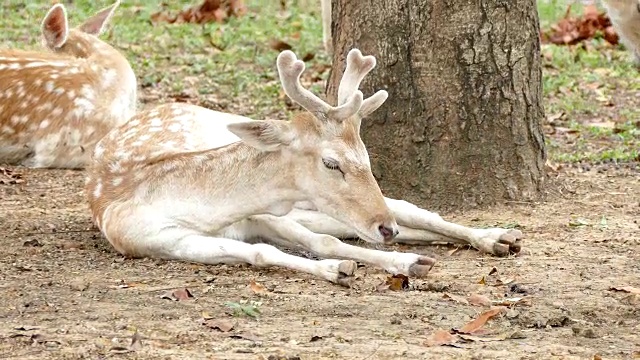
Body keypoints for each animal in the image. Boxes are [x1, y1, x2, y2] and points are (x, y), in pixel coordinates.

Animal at [85, 48, 524, 286]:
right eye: (331, 163)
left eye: (367, 158)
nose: (386, 229)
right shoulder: (156, 240)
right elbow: (262, 252)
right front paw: (342, 269)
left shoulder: (264, 213)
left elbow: (323, 242)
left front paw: (395, 262)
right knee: (382, 224)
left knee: (407, 210)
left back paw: (497, 237)